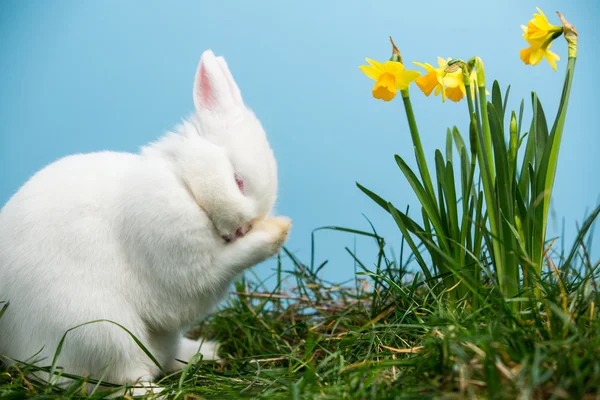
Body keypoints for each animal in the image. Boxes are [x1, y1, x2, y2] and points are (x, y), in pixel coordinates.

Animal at [0, 49, 290, 394]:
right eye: (238, 181)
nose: (242, 228)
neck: (185, 184)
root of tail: (14, 351)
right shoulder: (182, 268)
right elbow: (221, 268)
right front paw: (276, 233)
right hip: (103, 333)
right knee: (124, 380)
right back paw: (159, 392)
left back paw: (206, 351)